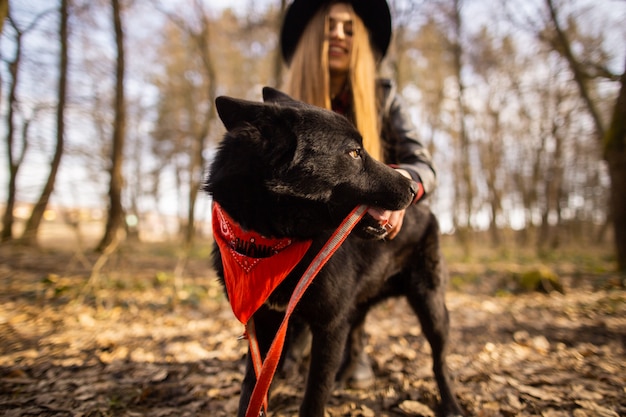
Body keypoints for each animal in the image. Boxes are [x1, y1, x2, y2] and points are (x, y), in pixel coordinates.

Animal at [206, 88, 464, 416]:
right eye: (354, 153)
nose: (412, 188)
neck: (272, 243)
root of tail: (428, 210)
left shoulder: (329, 325)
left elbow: (314, 395)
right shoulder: (265, 325)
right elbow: (253, 391)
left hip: (431, 305)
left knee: (439, 361)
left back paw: (451, 404)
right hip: (355, 307)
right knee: (356, 337)